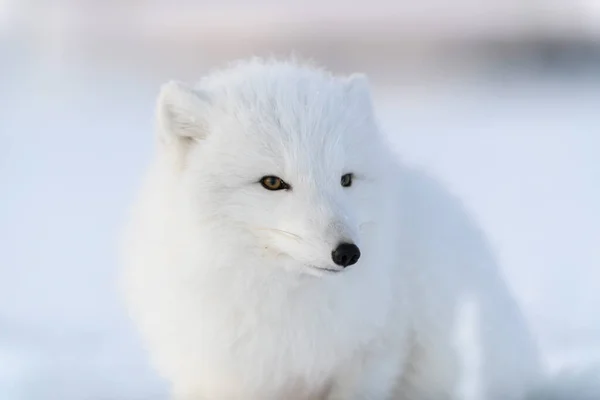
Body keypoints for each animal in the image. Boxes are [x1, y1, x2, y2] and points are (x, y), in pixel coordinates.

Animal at [120, 57, 596, 400]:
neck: (283, 303)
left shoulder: (374, 358)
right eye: (272, 182)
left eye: (345, 179)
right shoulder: (221, 375)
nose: (347, 253)